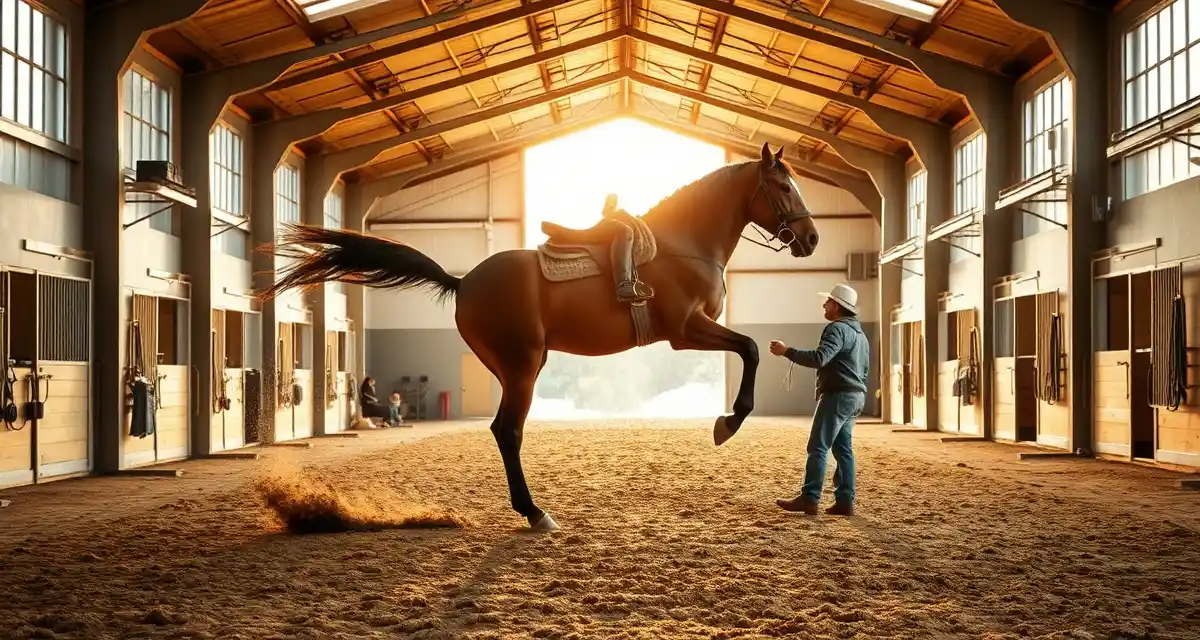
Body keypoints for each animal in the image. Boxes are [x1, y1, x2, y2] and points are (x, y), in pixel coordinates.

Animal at [260, 142, 819, 532]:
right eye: (783, 188)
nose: (812, 239)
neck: (681, 243)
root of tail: (464, 281)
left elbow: (749, 349)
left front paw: (729, 421)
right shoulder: (686, 331)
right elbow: (750, 349)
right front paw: (729, 422)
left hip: (519, 367)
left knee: (507, 431)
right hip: (523, 366)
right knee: (507, 431)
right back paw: (535, 513)